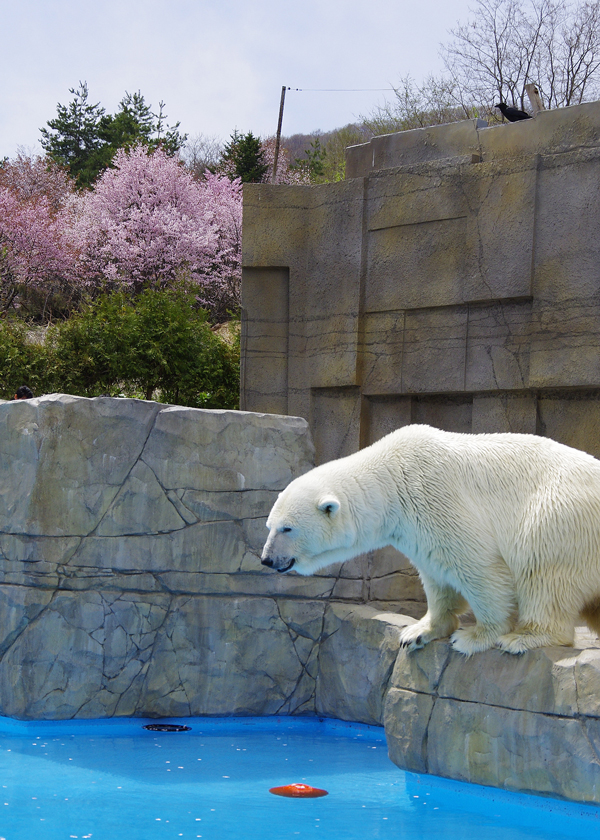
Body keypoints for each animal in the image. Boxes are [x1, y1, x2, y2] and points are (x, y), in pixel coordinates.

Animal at [262, 426, 600, 656]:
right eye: (269, 525)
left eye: (287, 529)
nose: (267, 559)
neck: (393, 477)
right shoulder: (416, 528)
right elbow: (437, 574)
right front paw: (418, 632)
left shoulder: (435, 495)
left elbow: (479, 568)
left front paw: (475, 636)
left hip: (560, 516)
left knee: (543, 573)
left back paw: (524, 637)